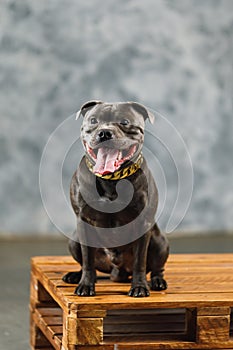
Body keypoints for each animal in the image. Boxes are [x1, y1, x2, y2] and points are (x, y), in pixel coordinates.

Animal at [62, 101, 168, 298]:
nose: (104, 132)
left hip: (160, 242)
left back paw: (158, 281)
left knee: (157, 267)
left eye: (125, 122)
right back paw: (75, 275)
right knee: (85, 263)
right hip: (74, 240)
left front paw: (139, 287)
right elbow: (87, 260)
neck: (111, 179)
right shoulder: (83, 222)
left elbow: (140, 262)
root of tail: (117, 272)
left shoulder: (143, 223)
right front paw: (85, 285)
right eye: (93, 120)